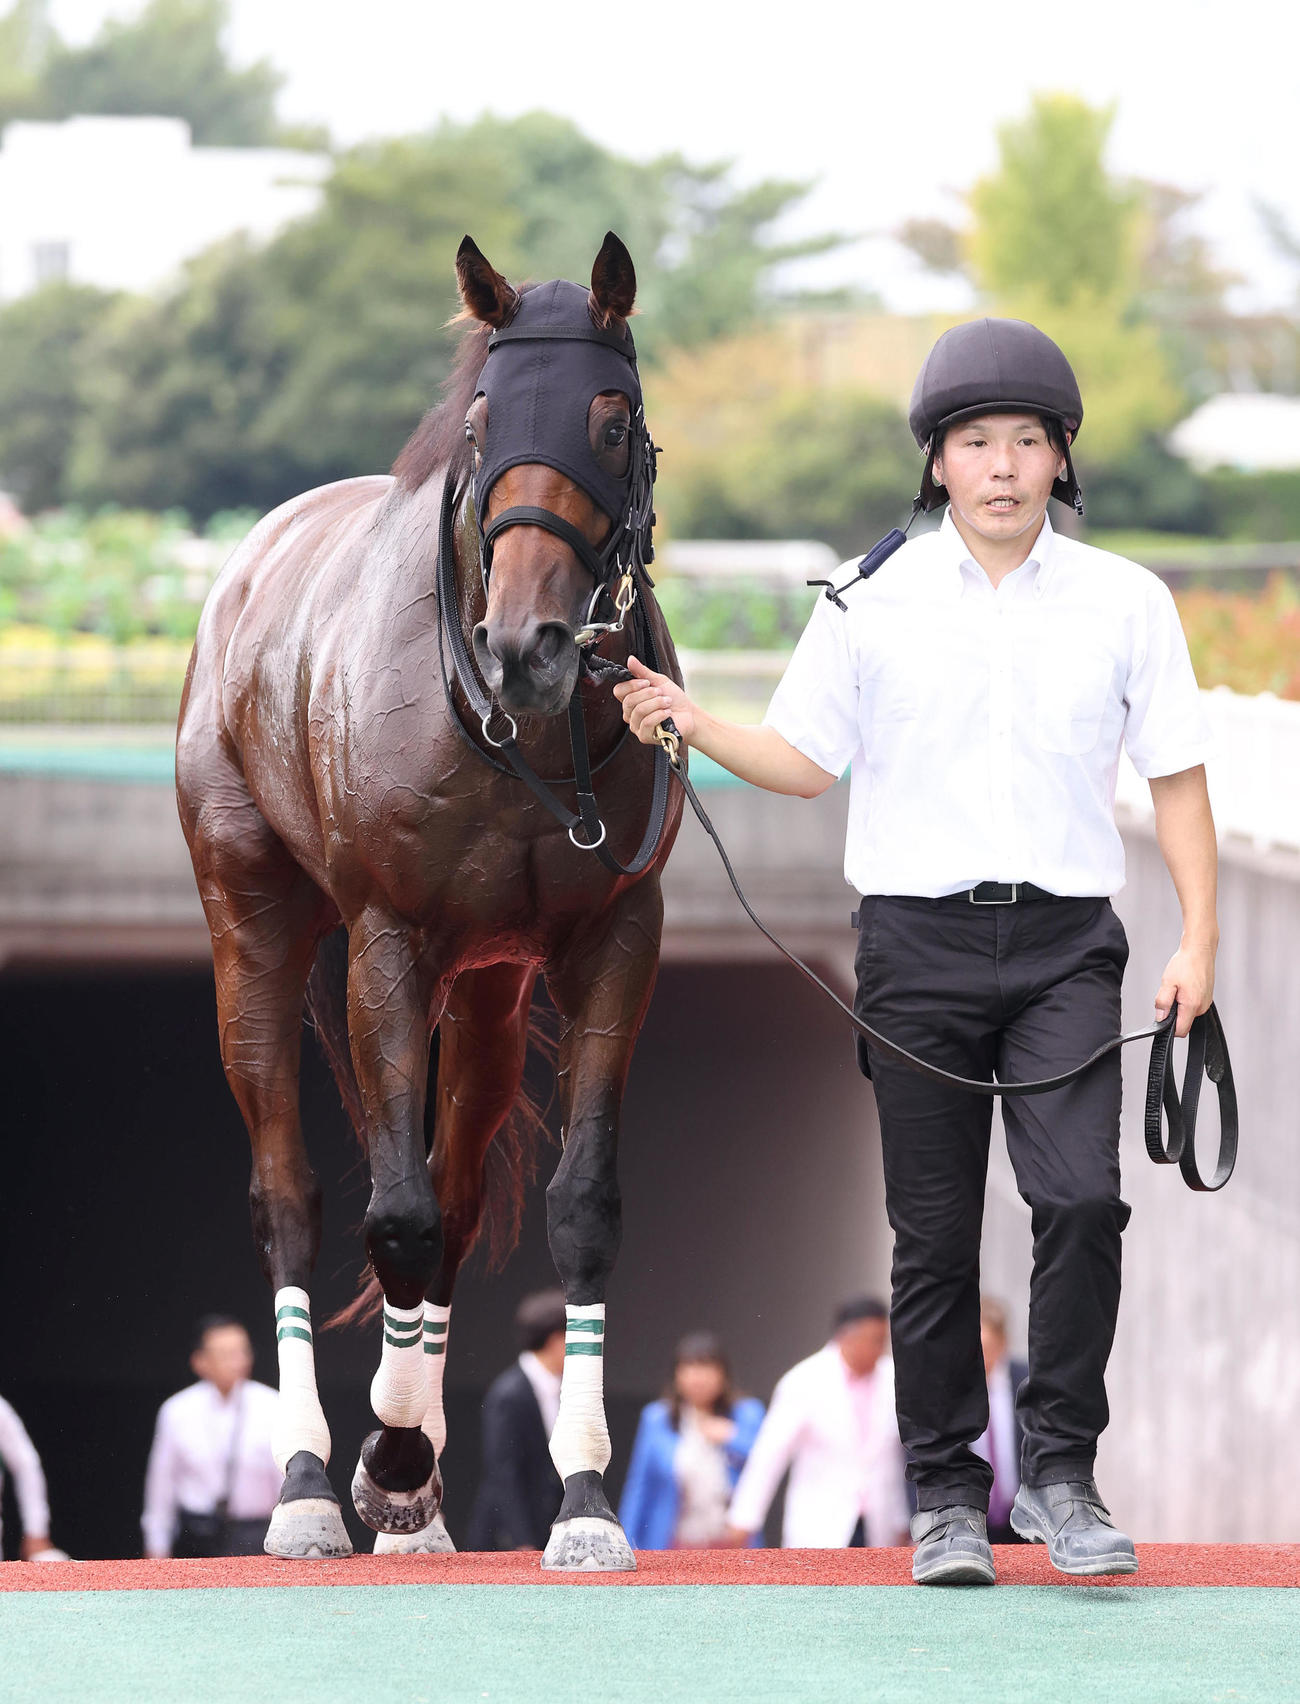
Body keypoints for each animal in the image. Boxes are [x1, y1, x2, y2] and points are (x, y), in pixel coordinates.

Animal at [175, 232, 684, 1570]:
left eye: (613, 418)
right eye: (482, 419)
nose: (526, 642)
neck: (517, 735)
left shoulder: (616, 934)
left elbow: (573, 1206)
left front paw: (581, 1498)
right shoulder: (388, 939)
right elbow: (391, 1216)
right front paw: (389, 1456)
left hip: (492, 988)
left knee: (455, 1196)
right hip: (251, 920)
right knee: (293, 1195)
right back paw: (309, 1483)